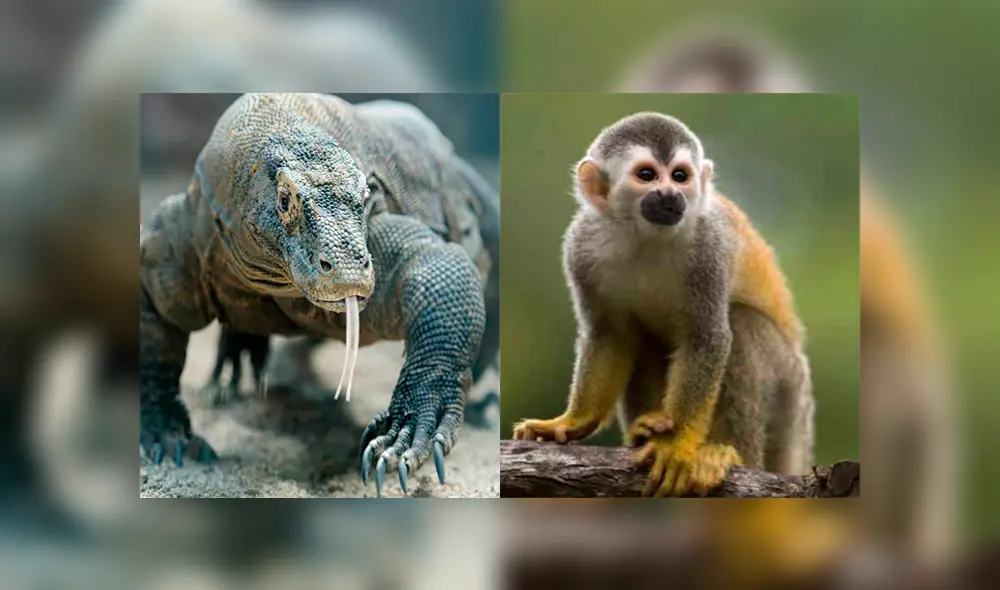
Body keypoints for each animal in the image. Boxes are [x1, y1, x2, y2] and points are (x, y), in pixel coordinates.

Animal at [512, 112, 814, 498]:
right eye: (647, 175)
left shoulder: (709, 246)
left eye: (680, 175)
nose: (671, 194)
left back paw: (728, 454)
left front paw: (676, 444)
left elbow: (707, 336)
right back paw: (642, 435)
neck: (645, 234)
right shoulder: (580, 247)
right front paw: (573, 421)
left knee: (742, 324)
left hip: (789, 388)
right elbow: (609, 334)